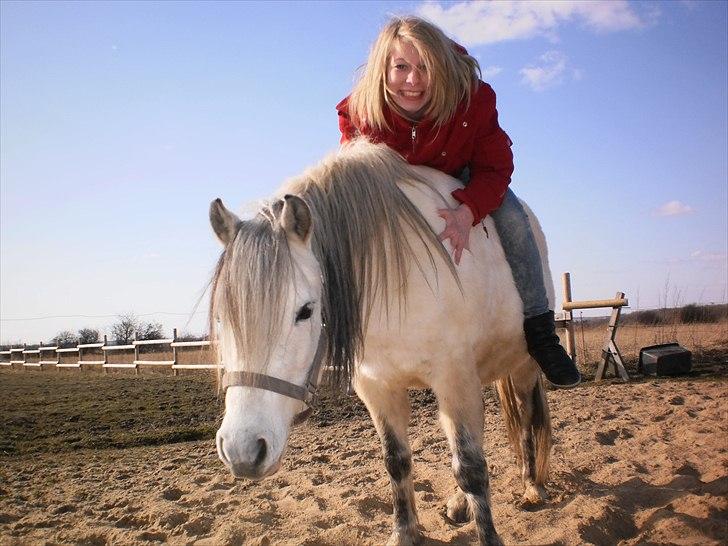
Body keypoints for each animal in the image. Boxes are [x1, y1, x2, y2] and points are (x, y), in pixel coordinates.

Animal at [208, 139, 553, 546]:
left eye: (306, 311)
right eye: (221, 317)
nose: (242, 450)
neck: (395, 282)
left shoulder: (454, 379)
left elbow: (470, 466)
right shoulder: (378, 387)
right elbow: (397, 461)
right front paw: (404, 532)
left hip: (523, 366)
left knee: (525, 419)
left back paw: (532, 485)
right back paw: (460, 504)